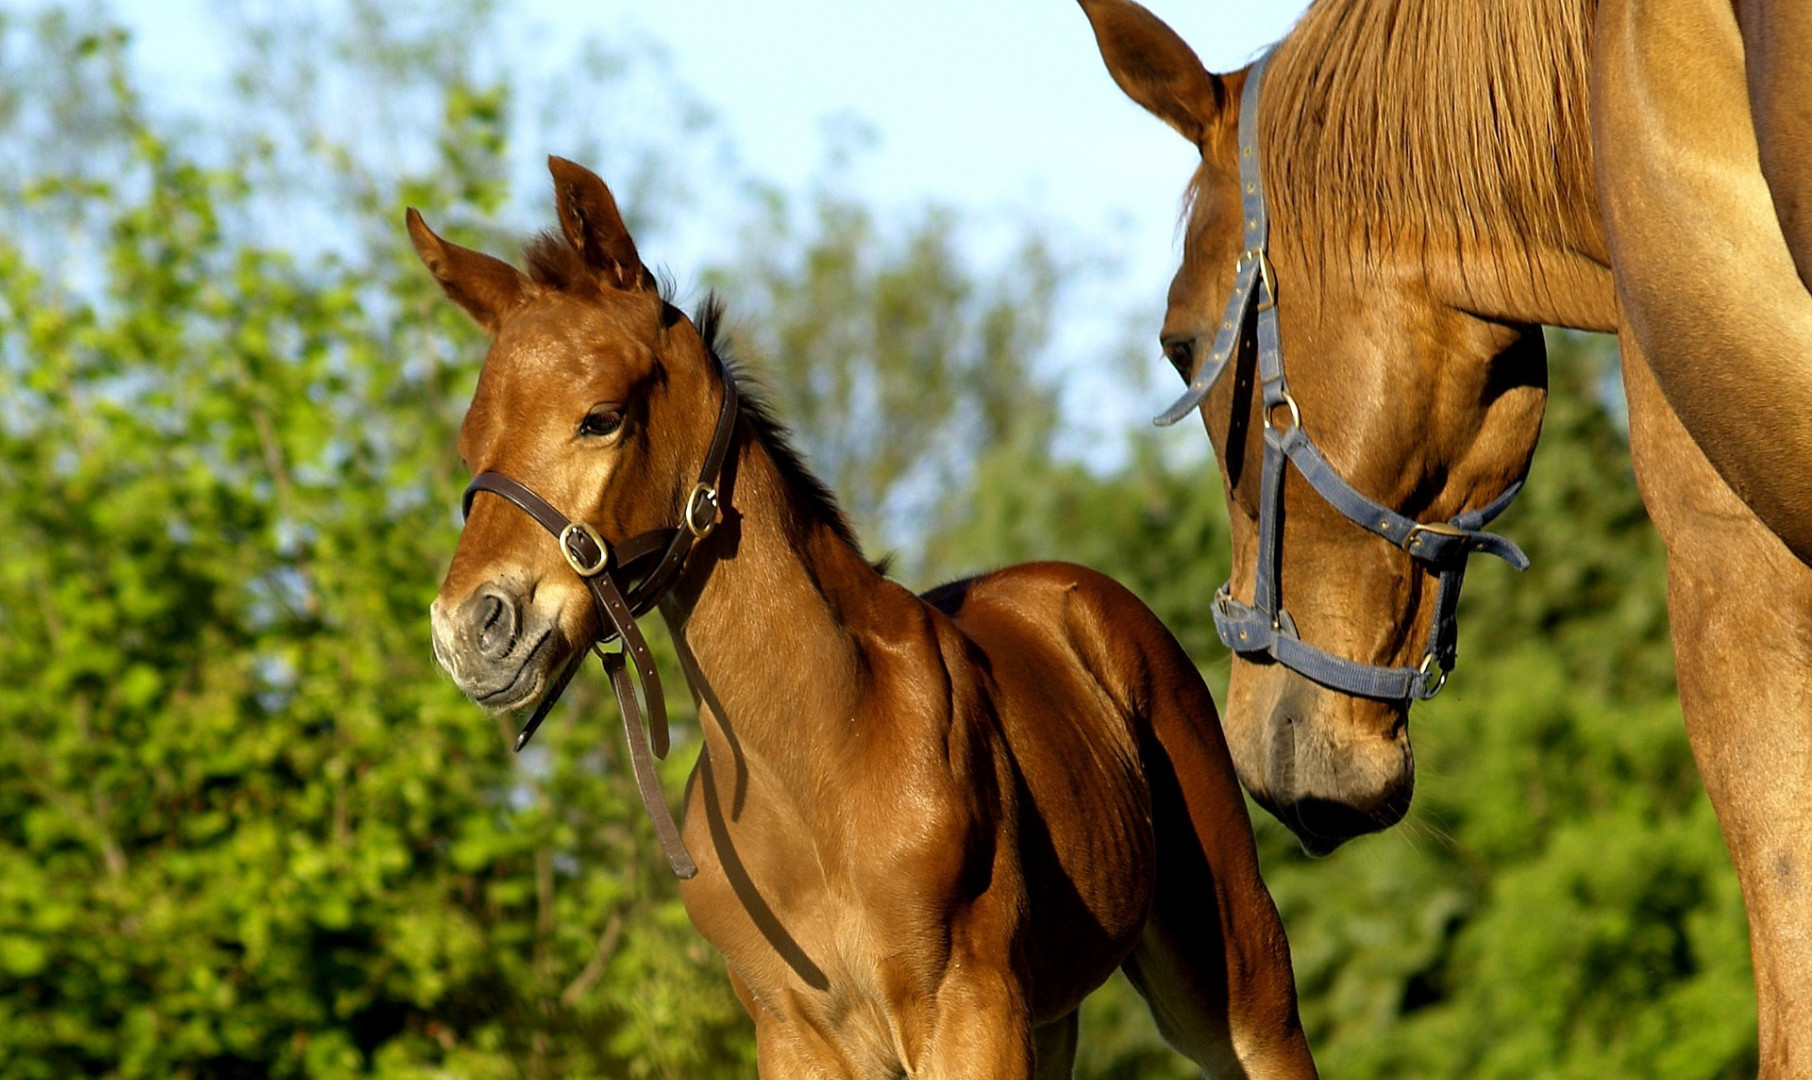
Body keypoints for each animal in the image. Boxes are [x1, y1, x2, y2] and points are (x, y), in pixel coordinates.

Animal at [414, 158, 1319, 1080]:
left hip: (1235, 983)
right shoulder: (792, 1034)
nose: (469, 630)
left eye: (600, 417)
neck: (817, 763)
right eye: (469, 445)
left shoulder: (970, 1011)